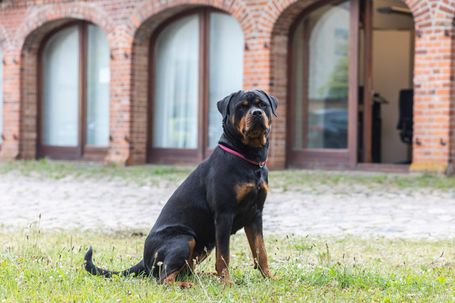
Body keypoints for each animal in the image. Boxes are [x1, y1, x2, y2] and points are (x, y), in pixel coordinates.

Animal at [85, 89, 278, 288]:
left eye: (262, 104)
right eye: (241, 107)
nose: (257, 113)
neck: (249, 158)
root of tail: (144, 259)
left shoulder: (255, 214)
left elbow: (261, 251)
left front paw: (269, 277)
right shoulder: (224, 214)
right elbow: (224, 256)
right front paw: (227, 283)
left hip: (203, 246)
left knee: (185, 271)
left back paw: (206, 276)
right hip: (185, 238)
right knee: (164, 278)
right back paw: (186, 284)